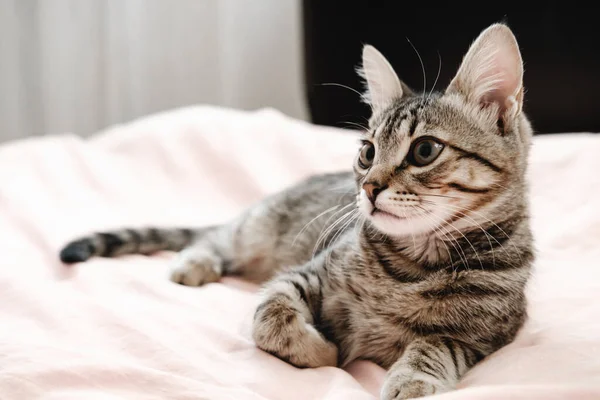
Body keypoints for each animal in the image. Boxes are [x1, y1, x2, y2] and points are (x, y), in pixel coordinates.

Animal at [61, 23, 536, 398]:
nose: (369, 187)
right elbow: (270, 316)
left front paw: (412, 378)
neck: (413, 263)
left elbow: (436, 345)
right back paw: (194, 262)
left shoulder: (488, 334)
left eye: (424, 150)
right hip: (256, 229)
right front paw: (319, 350)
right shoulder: (306, 274)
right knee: (216, 236)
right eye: (367, 152)